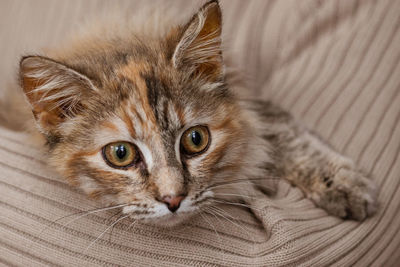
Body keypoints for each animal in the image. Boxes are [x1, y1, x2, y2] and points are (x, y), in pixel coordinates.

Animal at [15, 0, 376, 228]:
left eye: (196, 139)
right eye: (120, 154)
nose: (173, 199)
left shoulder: (251, 101)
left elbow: (281, 128)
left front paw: (341, 181)